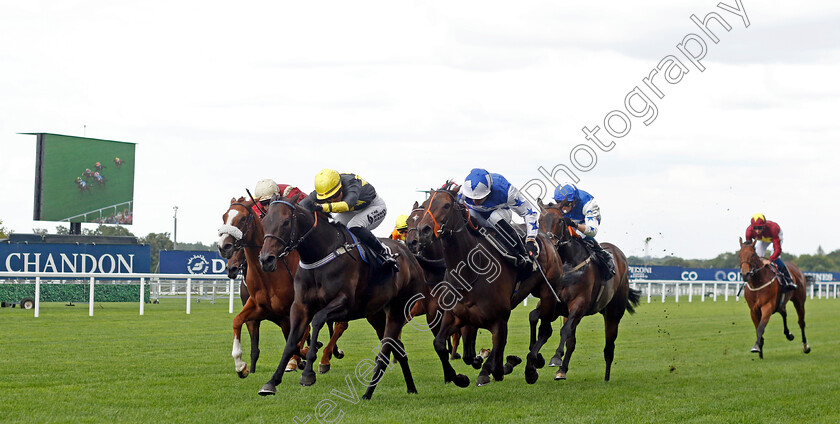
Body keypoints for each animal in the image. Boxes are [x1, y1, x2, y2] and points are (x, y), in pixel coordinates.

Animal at [220, 198, 348, 378]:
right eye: (224, 217)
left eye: (243, 218)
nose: (224, 246)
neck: (268, 276)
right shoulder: (259, 309)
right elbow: (238, 322)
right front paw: (241, 366)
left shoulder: (290, 313)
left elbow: (296, 341)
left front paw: (303, 356)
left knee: (339, 325)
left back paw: (325, 358)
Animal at [256, 194, 426, 400]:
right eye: (264, 221)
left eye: (286, 222)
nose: (266, 260)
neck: (319, 254)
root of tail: (411, 258)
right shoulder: (300, 306)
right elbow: (290, 342)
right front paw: (271, 382)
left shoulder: (344, 304)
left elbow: (318, 320)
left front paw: (308, 373)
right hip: (377, 316)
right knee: (399, 350)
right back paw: (410, 387)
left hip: (397, 311)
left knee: (386, 351)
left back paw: (367, 394)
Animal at [418, 184, 568, 386]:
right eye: (426, 203)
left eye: (447, 205)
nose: (423, 230)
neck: (470, 272)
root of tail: (547, 239)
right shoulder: (455, 316)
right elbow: (441, 345)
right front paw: (459, 377)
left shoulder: (499, 320)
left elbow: (497, 359)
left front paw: (498, 367)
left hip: (548, 295)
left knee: (545, 329)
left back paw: (531, 367)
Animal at [536, 200, 640, 382]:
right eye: (540, 220)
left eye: (560, 221)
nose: (549, 243)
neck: (566, 265)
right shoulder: (554, 302)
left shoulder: (579, 303)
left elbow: (564, 330)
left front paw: (555, 357)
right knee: (571, 341)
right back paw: (562, 370)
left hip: (613, 313)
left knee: (609, 346)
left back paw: (606, 377)